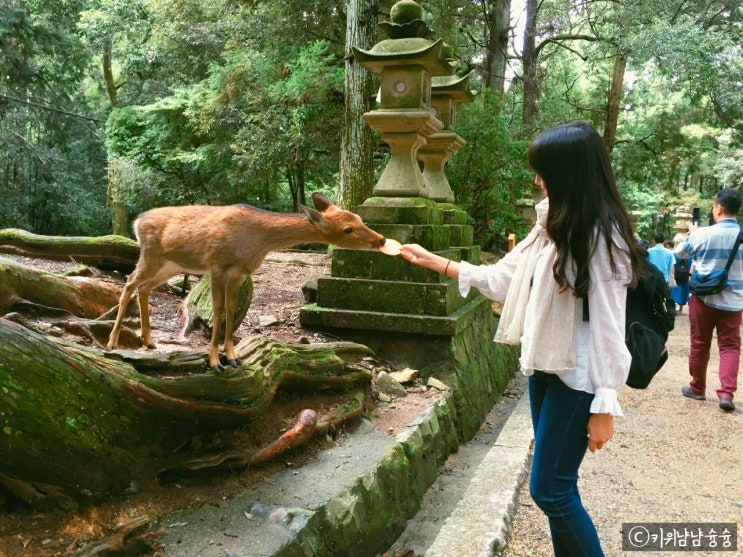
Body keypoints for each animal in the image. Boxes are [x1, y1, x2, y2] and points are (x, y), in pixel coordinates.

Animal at [107, 193, 386, 372]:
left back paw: (148, 340)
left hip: (171, 264)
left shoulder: (238, 272)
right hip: (151, 255)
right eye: (347, 229)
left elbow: (232, 310)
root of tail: (136, 221)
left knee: (143, 287)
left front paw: (232, 357)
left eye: (359, 218)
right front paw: (214, 361)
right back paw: (112, 342)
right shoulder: (217, 266)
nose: (381, 239)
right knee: (129, 283)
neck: (258, 239)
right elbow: (218, 309)